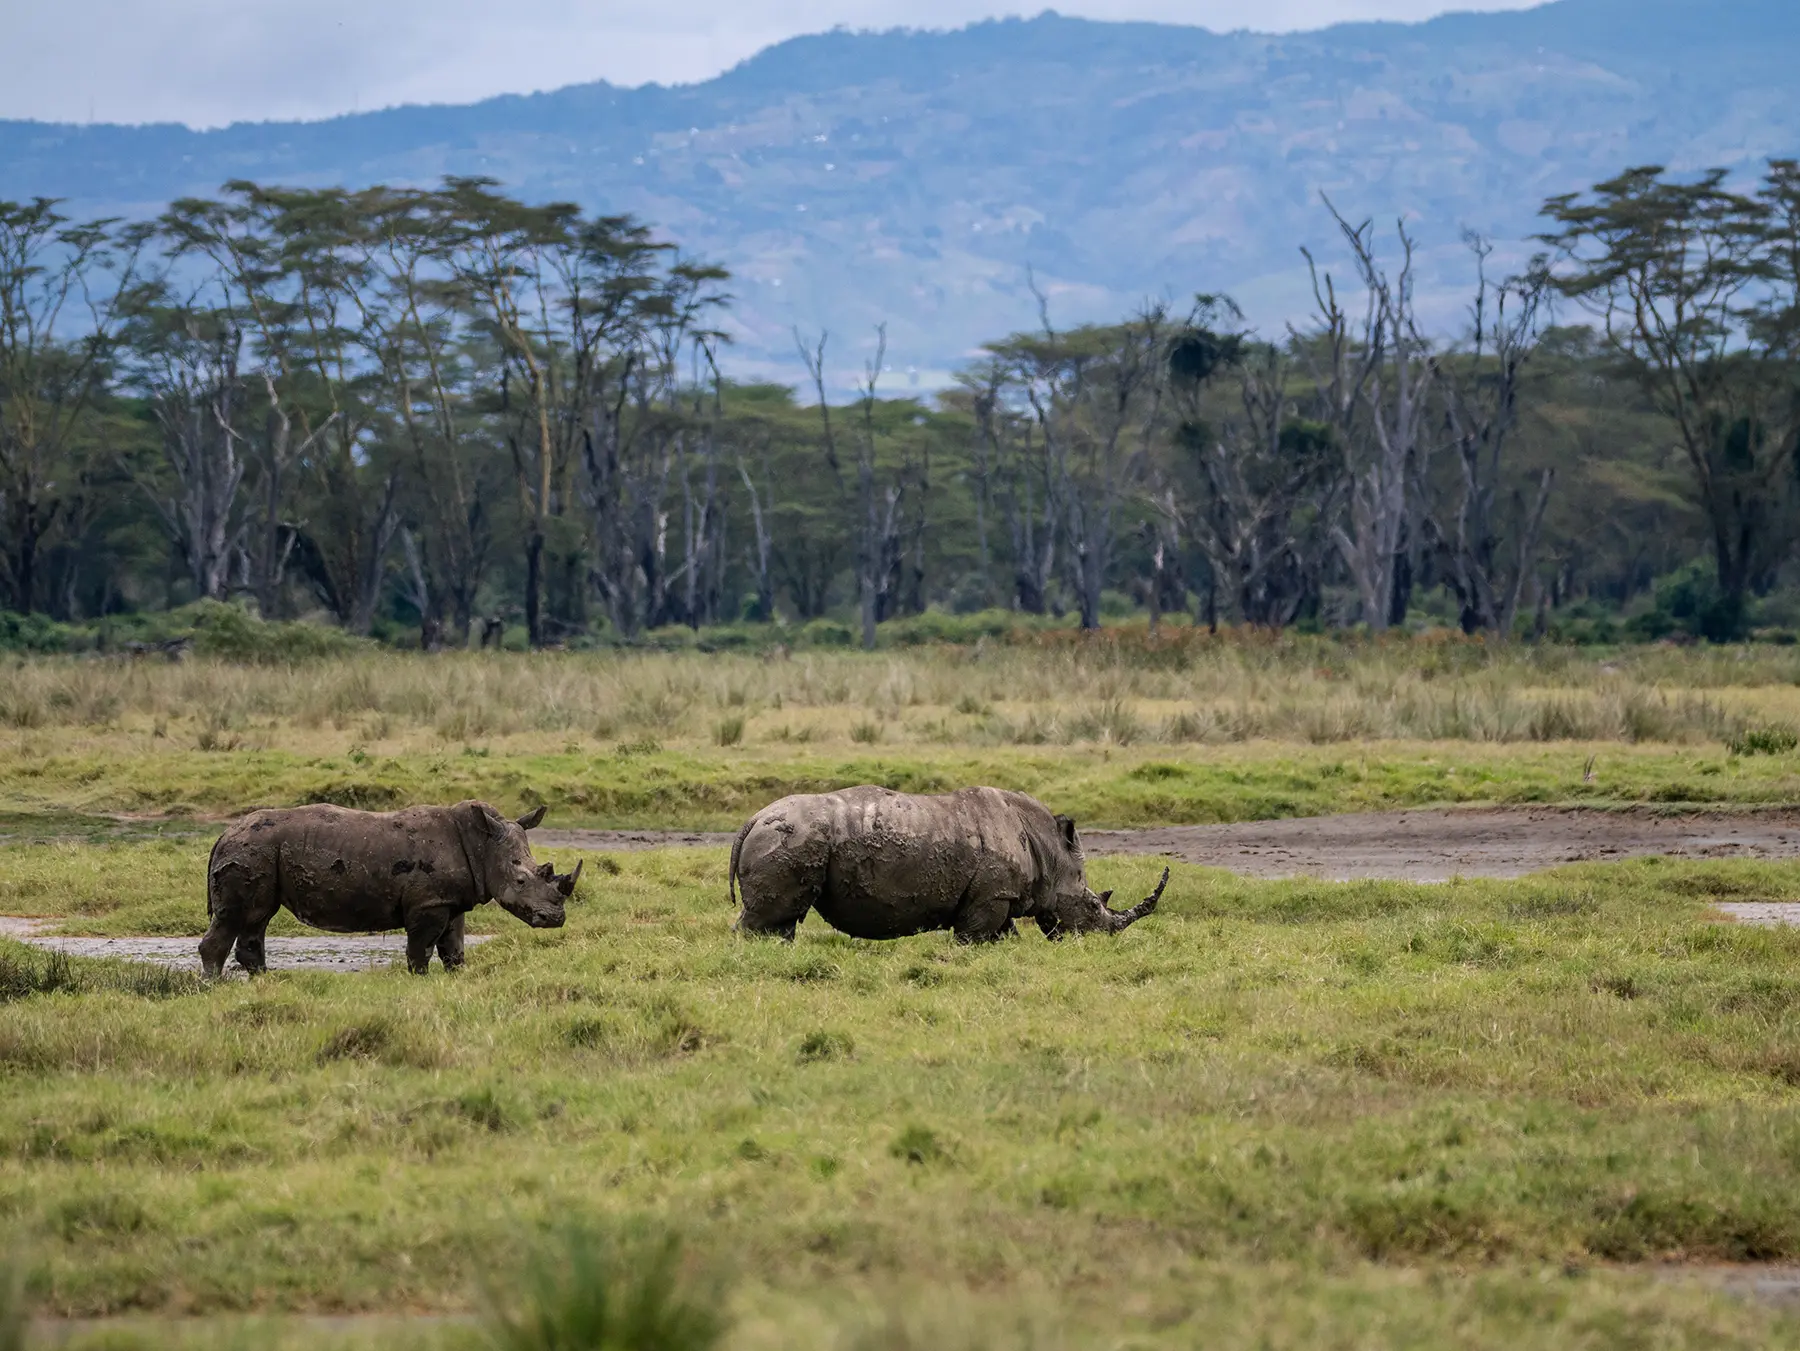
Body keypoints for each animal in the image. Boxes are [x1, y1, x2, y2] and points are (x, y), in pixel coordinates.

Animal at [199, 800, 580, 977]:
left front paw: (456, 977)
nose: (555, 919)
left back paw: (266, 982)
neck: (483, 845)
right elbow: (421, 949)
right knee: (237, 917)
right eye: (521, 881)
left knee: (257, 917)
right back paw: (215, 985)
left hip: (257, 851)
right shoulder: (428, 903)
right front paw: (420, 979)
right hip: (249, 851)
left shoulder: (451, 900)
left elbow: (454, 948)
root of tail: (224, 834)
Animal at [729, 785, 1167, 942]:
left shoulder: (997, 896)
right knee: (772, 915)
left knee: (783, 919)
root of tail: (751, 820)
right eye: (1093, 905)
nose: (1099, 942)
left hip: (790, 838)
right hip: (791, 838)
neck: (1050, 853)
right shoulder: (991, 896)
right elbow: (973, 937)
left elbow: (1004, 936)